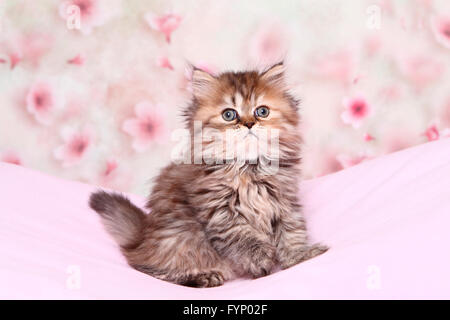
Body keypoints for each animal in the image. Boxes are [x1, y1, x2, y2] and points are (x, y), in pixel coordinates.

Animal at [89, 62, 326, 288]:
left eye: (262, 112)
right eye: (229, 115)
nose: (249, 123)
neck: (249, 168)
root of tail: (141, 238)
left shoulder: (285, 203)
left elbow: (292, 233)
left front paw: (299, 256)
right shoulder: (221, 212)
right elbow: (243, 237)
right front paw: (261, 258)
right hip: (179, 240)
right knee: (151, 269)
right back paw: (202, 277)